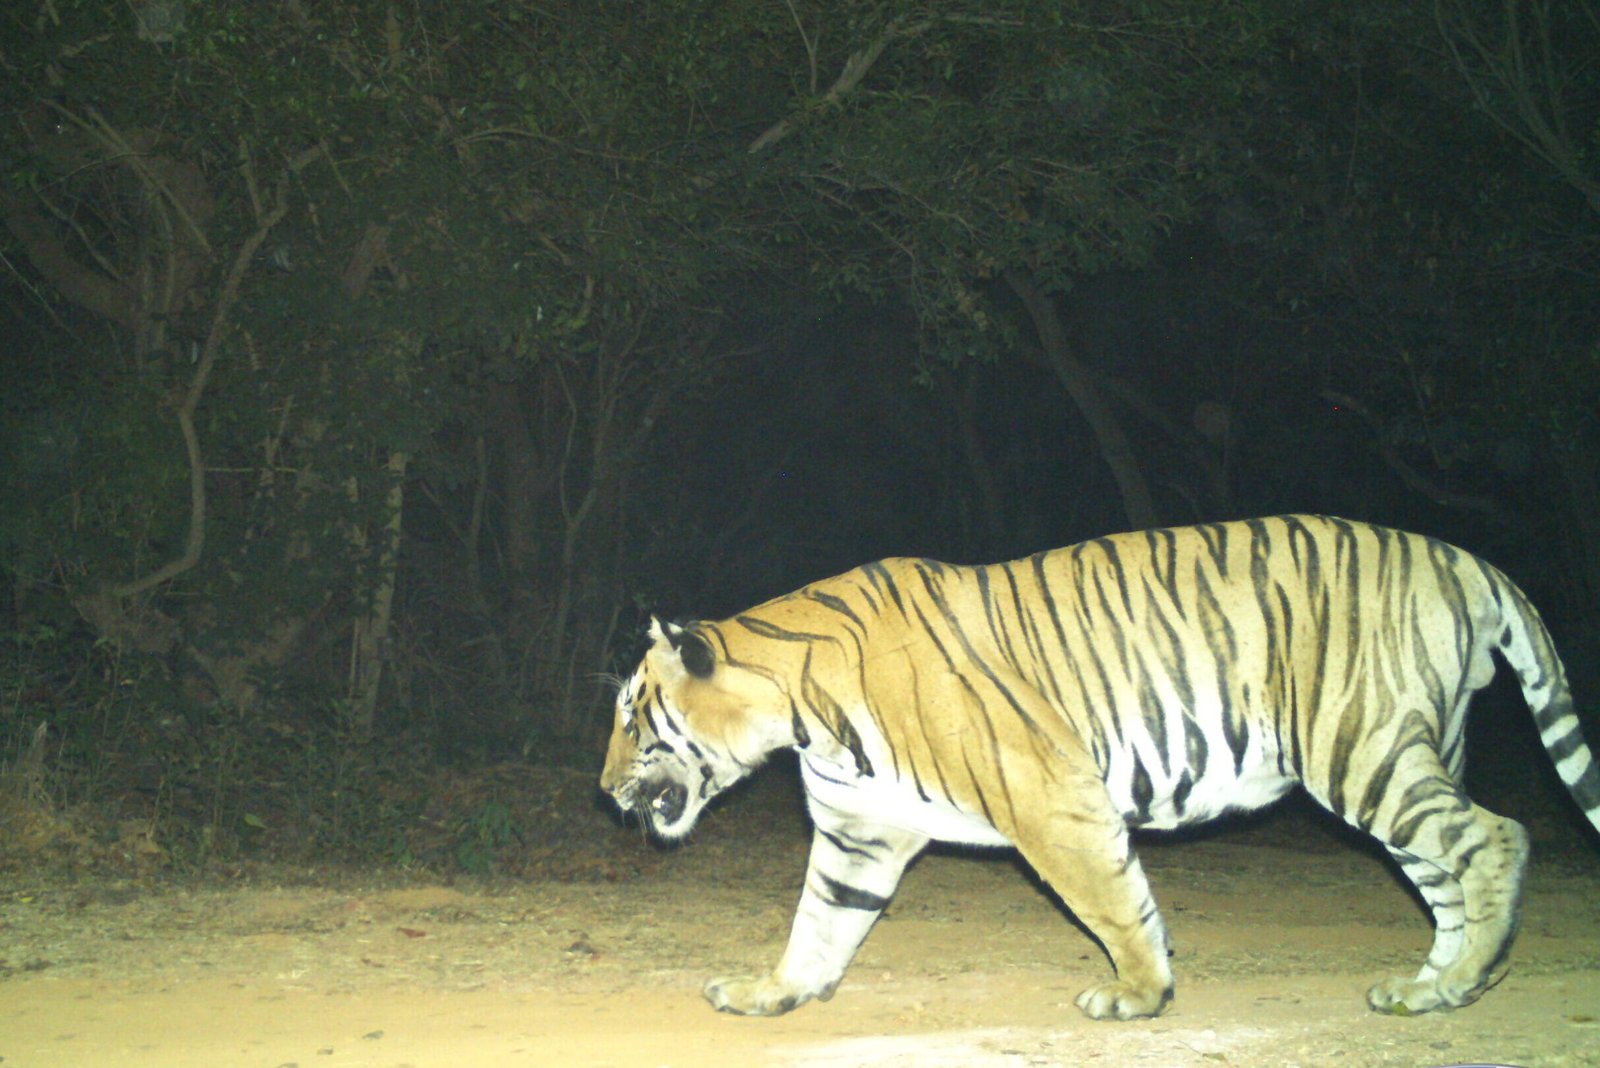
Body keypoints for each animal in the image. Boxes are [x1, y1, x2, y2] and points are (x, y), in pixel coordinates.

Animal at [599, 514, 1600, 1020]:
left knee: (1497, 838)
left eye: (632, 718)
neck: (800, 716)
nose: (604, 791)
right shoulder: (858, 834)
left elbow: (1114, 902)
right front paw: (774, 992)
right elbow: (821, 923)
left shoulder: (1053, 798)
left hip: (1361, 746)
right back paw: (1432, 987)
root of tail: (1468, 560)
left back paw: (1463, 979)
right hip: (1406, 754)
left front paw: (1140, 995)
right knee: (1446, 872)